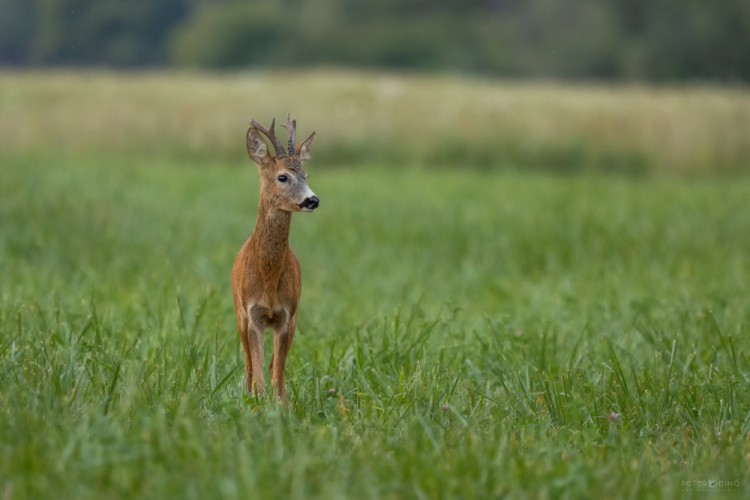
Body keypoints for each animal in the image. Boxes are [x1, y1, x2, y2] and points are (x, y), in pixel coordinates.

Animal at [232, 115, 320, 400]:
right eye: (283, 176)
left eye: (306, 175)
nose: (313, 200)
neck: (268, 279)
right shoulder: (253, 314)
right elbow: (258, 371)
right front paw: (258, 401)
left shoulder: (287, 315)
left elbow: (277, 373)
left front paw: (281, 405)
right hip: (238, 312)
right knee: (249, 364)